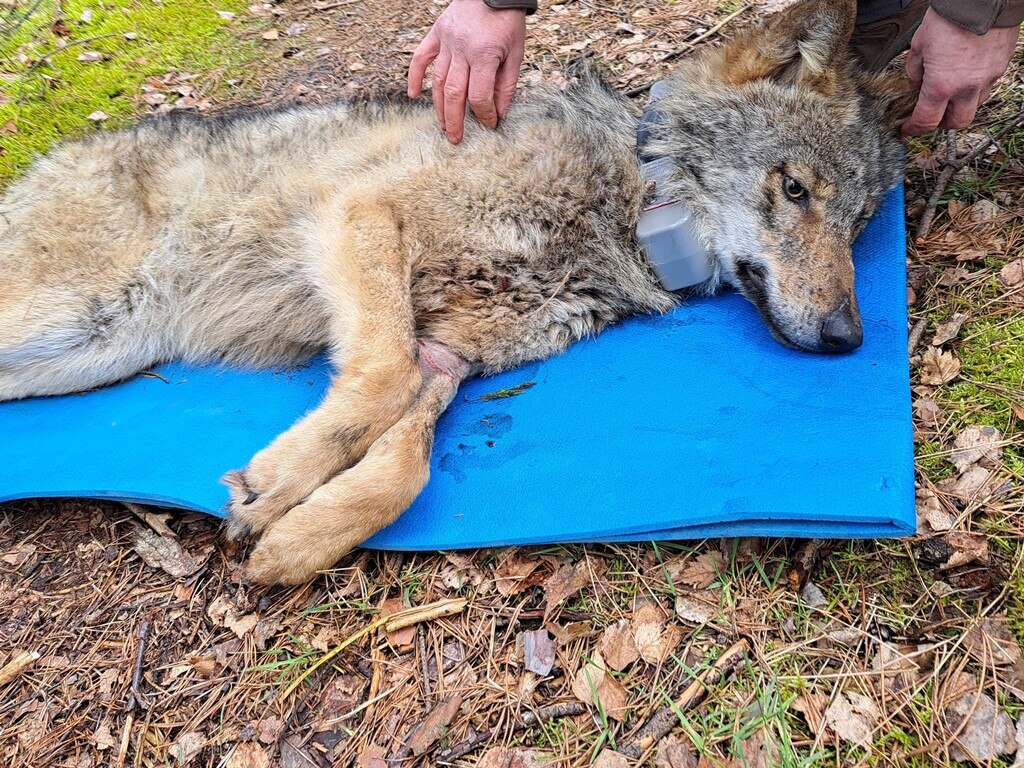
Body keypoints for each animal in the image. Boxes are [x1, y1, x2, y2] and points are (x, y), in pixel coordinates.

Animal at [0, 0, 913, 581]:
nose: (850, 339)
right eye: (794, 191)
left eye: (859, 223)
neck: (622, 202)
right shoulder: (363, 214)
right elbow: (381, 384)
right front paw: (281, 488)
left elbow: (405, 461)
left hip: (82, 353)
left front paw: (300, 535)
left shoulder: (447, 354)